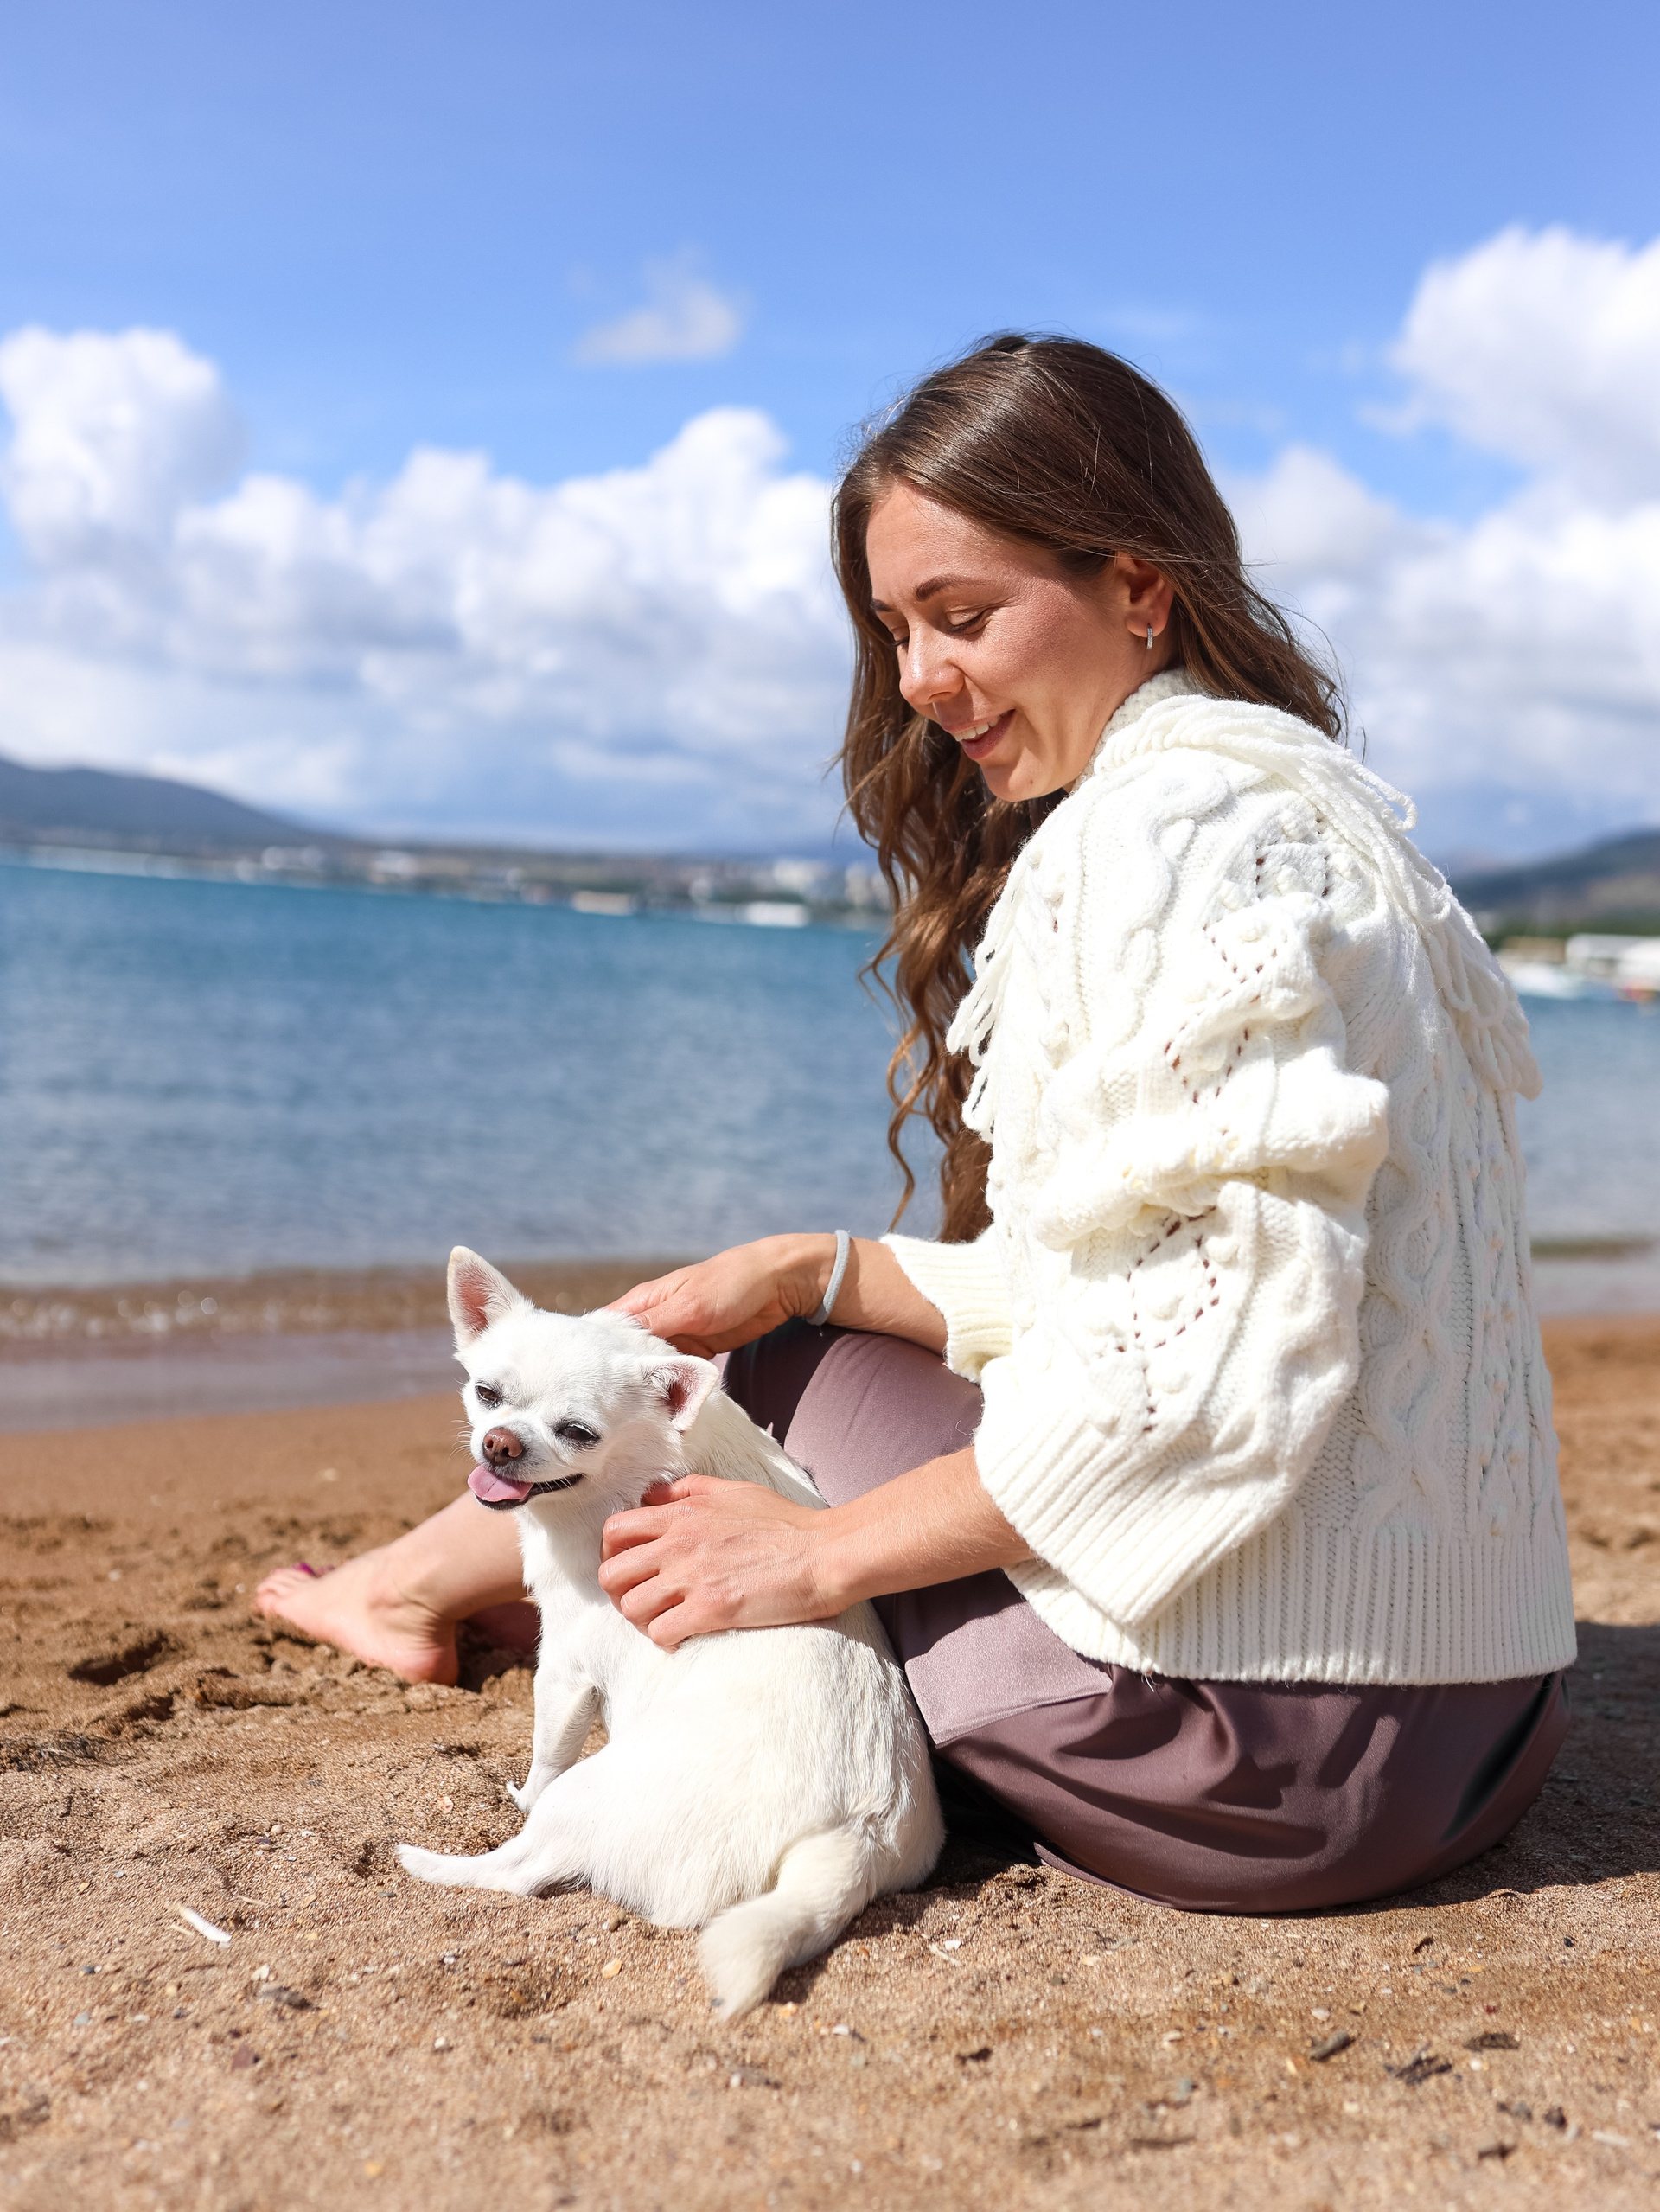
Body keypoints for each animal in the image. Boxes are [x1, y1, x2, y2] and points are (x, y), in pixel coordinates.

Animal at [396, 1247, 943, 2016]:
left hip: (589, 1796)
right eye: (487, 1393)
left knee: (521, 1871)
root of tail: (852, 1839)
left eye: (578, 1432)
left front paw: (521, 1790)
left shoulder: (564, 1668)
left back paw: (433, 1862)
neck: (643, 1471)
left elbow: (547, 1751)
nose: (499, 1444)